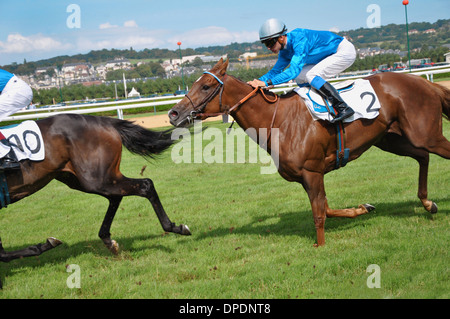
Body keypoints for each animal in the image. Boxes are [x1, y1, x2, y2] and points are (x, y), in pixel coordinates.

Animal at [0, 115, 190, 288]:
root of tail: (103, 120)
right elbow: (2, 253)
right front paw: (43, 246)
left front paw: (45, 244)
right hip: (79, 178)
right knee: (117, 195)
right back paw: (108, 241)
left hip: (95, 178)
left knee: (145, 185)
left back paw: (174, 227)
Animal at [168, 58, 450, 248]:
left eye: (206, 86)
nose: (173, 113)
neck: (277, 120)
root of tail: (424, 82)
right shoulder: (308, 177)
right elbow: (327, 209)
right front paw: (363, 208)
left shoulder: (312, 171)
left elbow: (319, 213)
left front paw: (320, 245)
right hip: (391, 139)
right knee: (422, 157)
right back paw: (428, 203)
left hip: (426, 135)